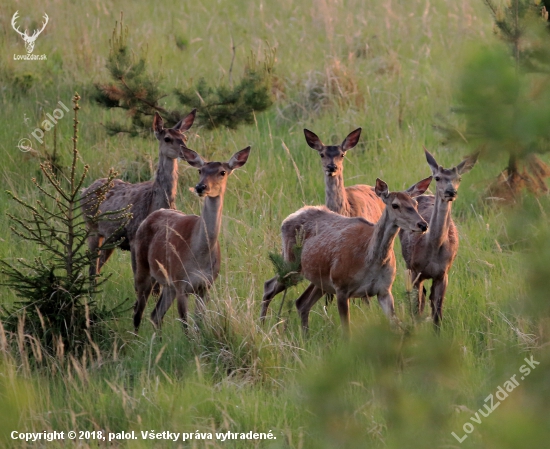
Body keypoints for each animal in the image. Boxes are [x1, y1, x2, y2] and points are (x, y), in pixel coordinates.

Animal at [80, 110, 196, 274]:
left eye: (185, 138)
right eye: (167, 138)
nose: (188, 153)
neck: (156, 202)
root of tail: (84, 190)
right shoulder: (134, 238)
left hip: (109, 238)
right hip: (92, 227)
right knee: (91, 268)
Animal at [133, 145, 253, 330]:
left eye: (222, 172)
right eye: (200, 170)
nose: (200, 187)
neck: (199, 256)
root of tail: (150, 216)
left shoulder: (205, 286)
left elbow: (199, 323)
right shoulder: (182, 283)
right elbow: (186, 325)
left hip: (169, 285)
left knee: (155, 315)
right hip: (143, 268)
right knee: (138, 312)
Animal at [260, 175, 434, 332]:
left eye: (415, 203)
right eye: (395, 205)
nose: (423, 225)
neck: (370, 260)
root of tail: (288, 218)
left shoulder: (384, 290)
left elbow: (395, 326)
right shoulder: (341, 286)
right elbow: (346, 331)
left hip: (320, 279)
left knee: (302, 302)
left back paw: (305, 336)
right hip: (292, 264)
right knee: (269, 286)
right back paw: (262, 326)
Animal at [402, 149, 478, 328]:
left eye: (459, 178)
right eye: (437, 177)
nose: (451, 192)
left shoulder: (444, 274)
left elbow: (438, 314)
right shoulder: (415, 270)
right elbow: (417, 308)